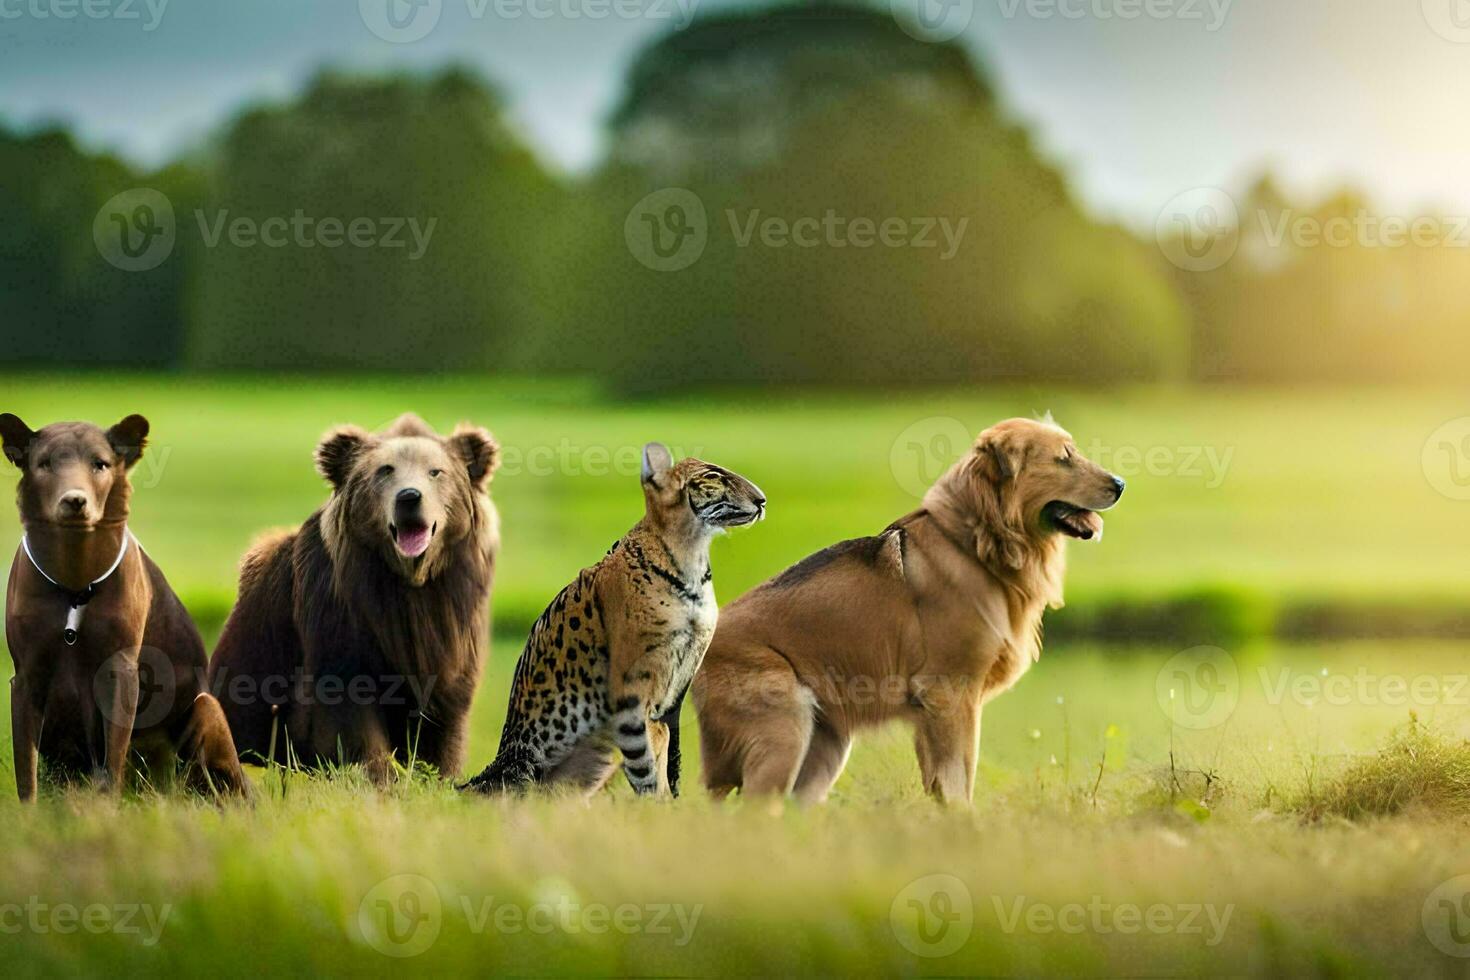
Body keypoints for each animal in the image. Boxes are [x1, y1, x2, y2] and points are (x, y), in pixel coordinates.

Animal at [1, 411, 248, 799]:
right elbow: (27, 772)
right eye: (45, 463)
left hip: (205, 710)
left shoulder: (119, 671)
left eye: (100, 463)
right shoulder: (26, 677)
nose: (75, 500)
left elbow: (113, 758)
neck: (74, 575)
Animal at [687, 414, 1123, 805]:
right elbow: (958, 781)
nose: (1121, 484)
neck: (975, 543)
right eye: (1064, 458)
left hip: (824, 747)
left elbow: (940, 786)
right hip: (784, 735)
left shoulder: (932, 714)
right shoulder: (950, 697)